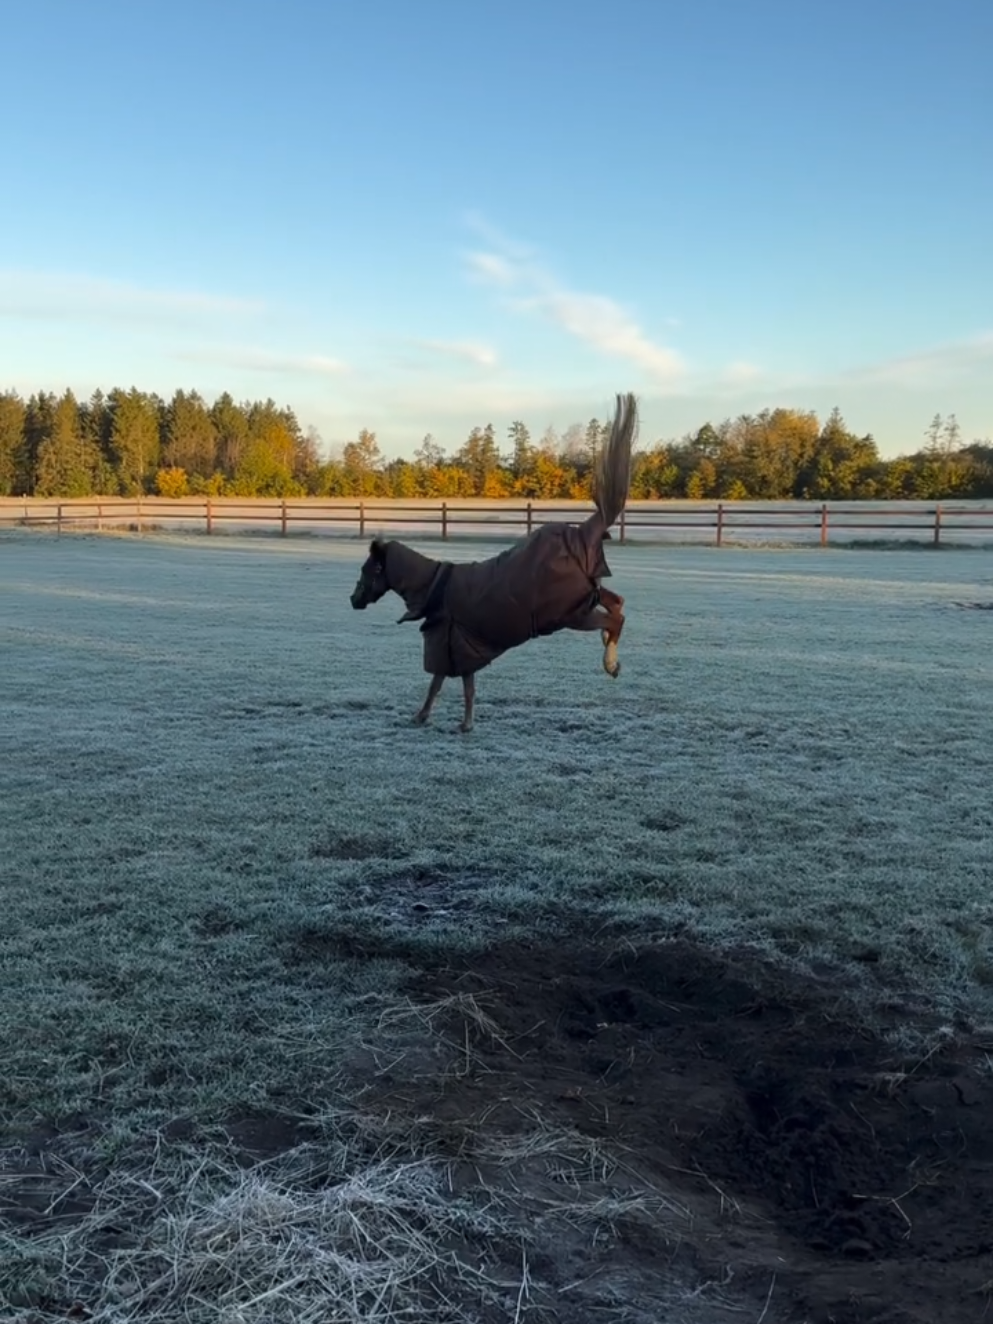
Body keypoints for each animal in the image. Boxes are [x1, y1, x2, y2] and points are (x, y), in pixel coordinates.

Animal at [350, 391, 638, 731]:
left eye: (368, 570)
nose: (353, 599)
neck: (435, 585)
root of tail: (586, 530)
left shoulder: (447, 644)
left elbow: (436, 684)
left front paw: (424, 717)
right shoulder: (463, 648)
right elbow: (465, 687)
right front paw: (465, 724)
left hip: (571, 614)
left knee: (615, 619)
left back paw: (610, 664)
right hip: (586, 597)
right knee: (617, 604)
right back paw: (610, 653)